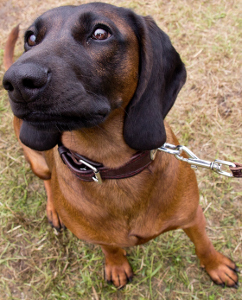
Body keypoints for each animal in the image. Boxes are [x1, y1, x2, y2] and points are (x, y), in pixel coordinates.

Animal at [2, 1, 239, 288]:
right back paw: (54, 209)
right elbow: (110, 247)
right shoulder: (97, 236)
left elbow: (203, 244)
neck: (114, 167)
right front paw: (116, 265)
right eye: (31, 38)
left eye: (100, 33)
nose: (16, 81)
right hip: (37, 160)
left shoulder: (193, 217)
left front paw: (216, 265)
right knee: (47, 181)